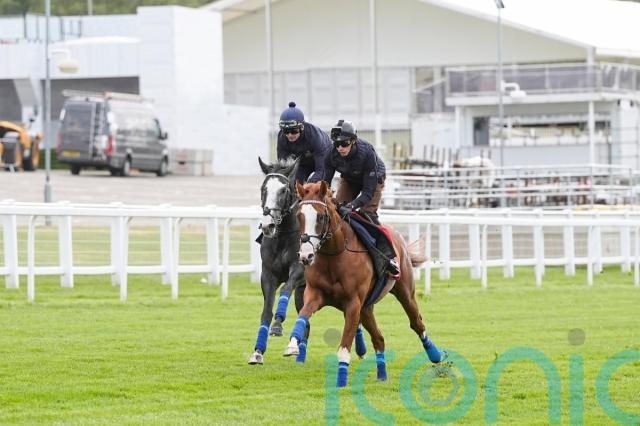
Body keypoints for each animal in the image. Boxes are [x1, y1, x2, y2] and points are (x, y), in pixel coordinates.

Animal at [248, 157, 308, 365]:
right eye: (263, 189)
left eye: (283, 190)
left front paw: (277, 325)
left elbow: (285, 289)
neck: (283, 235)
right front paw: (258, 351)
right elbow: (266, 310)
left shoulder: (299, 269)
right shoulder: (268, 274)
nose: (268, 225)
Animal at [284, 180, 447, 387]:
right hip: (367, 308)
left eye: (321, 216)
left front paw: (341, 380)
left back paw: (435, 356)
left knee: (417, 324)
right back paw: (382, 374)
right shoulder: (315, 295)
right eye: (299, 216)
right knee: (379, 338)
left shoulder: (353, 303)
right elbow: (303, 316)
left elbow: (345, 345)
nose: (306, 255)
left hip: (405, 293)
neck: (334, 255)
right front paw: (292, 345)